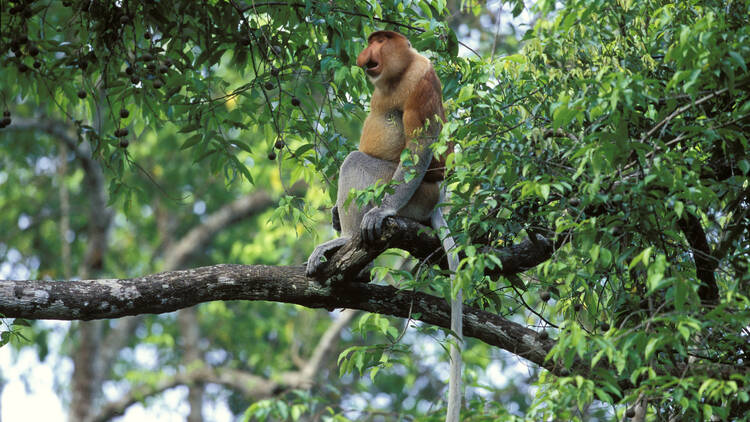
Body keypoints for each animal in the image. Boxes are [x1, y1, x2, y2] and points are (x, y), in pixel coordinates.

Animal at [306, 32, 464, 422]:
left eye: (380, 41)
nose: (366, 54)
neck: (400, 71)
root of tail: (437, 200)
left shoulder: (421, 80)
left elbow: (420, 142)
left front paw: (379, 214)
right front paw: (334, 214)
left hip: (411, 191)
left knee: (356, 162)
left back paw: (345, 242)